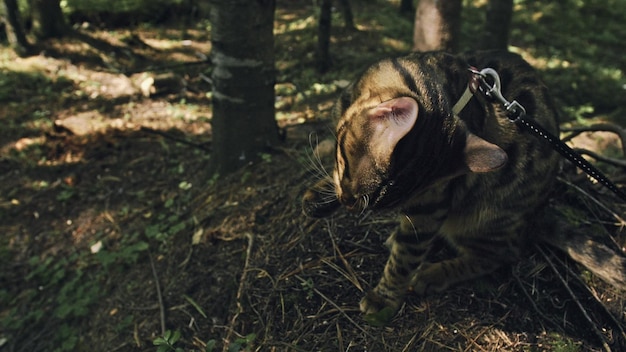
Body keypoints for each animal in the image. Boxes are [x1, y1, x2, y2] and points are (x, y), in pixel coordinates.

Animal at [302, 51, 624, 324]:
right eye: (345, 168)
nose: (348, 203)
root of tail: (537, 214)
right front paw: (320, 194)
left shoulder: (430, 205)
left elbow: (407, 256)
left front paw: (384, 298)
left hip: (485, 218)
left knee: (502, 254)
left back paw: (433, 273)